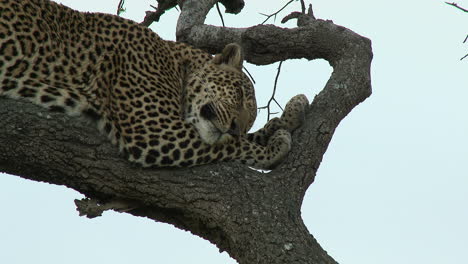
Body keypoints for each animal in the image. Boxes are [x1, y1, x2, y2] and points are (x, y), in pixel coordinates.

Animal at [0, 0, 308, 169]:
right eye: (239, 94)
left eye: (247, 122)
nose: (234, 127)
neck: (176, 63)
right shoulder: (157, 131)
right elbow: (232, 147)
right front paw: (275, 147)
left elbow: (240, 140)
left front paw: (291, 115)